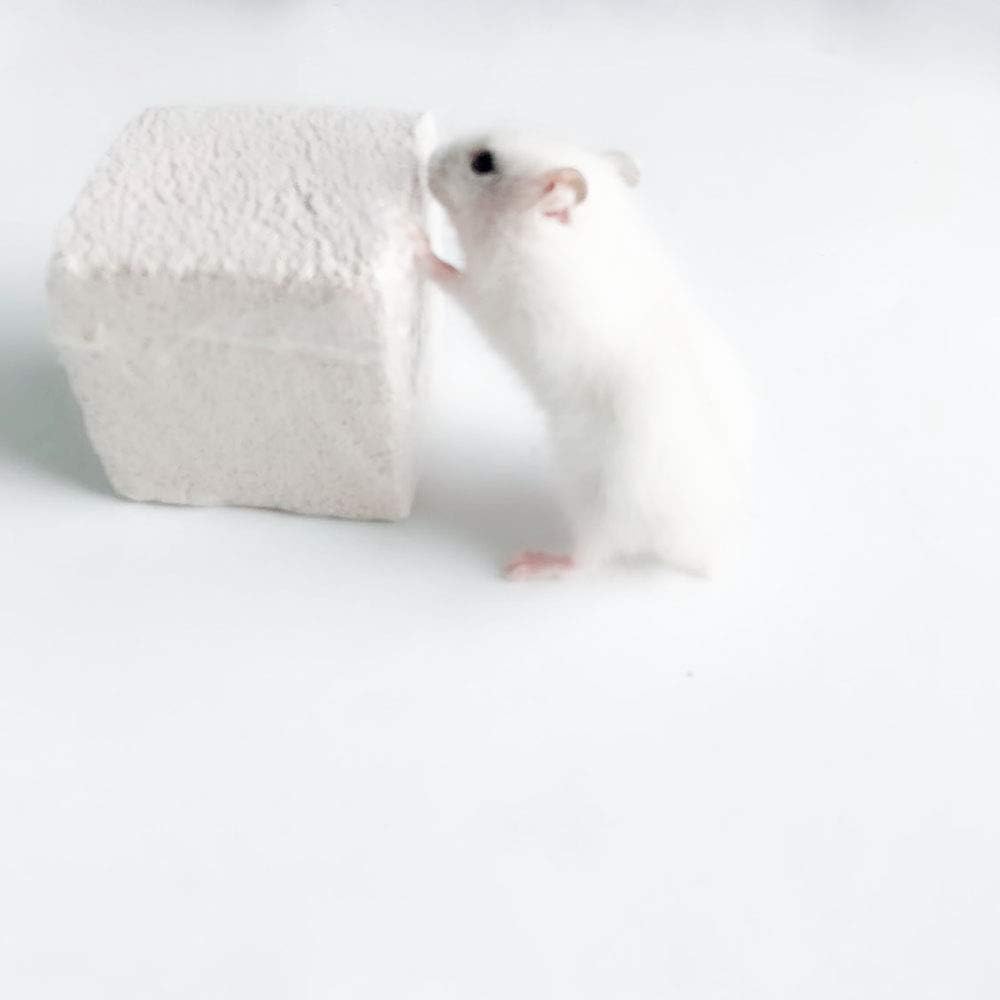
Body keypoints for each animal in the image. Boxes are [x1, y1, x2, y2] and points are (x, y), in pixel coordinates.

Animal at [418, 131, 753, 580]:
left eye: (483, 162)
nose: (429, 162)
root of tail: (709, 551)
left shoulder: (489, 293)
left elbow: (449, 274)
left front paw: (416, 243)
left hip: (598, 503)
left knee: (588, 560)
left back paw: (528, 563)